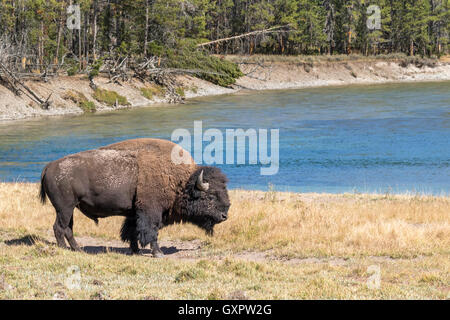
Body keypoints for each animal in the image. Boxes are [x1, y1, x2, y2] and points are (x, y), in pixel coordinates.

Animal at [39, 138, 230, 258]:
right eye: (210, 196)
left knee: (68, 229)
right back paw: (64, 249)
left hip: (69, 209)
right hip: (64, 208)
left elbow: (132, 232)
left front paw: (135, 251)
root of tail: (49, 166)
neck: (181, 182)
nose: (224, 216)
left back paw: (78, 249)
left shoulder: (134, 213)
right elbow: (151, 232)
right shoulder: (151, 212)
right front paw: (158, 253)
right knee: (59, 228)